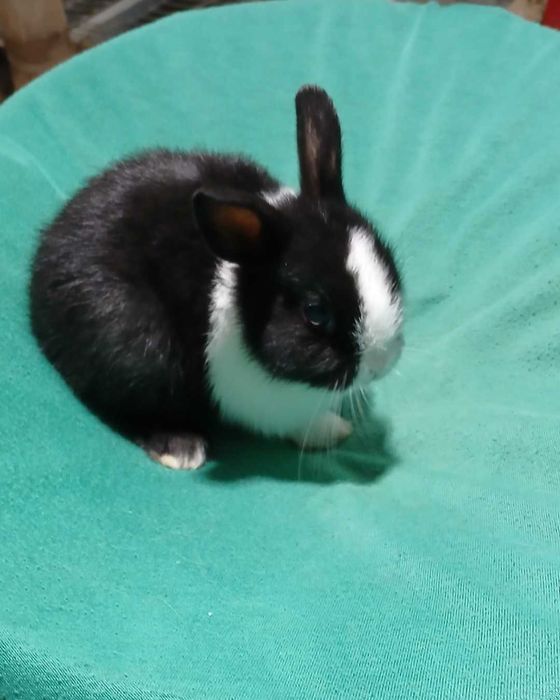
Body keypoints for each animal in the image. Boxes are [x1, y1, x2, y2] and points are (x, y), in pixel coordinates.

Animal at [29, 85, 404, 470]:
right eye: (315, 312)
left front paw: (332, 429)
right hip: (136, 343)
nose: (381, 363)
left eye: (391, 269)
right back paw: (180, 448)